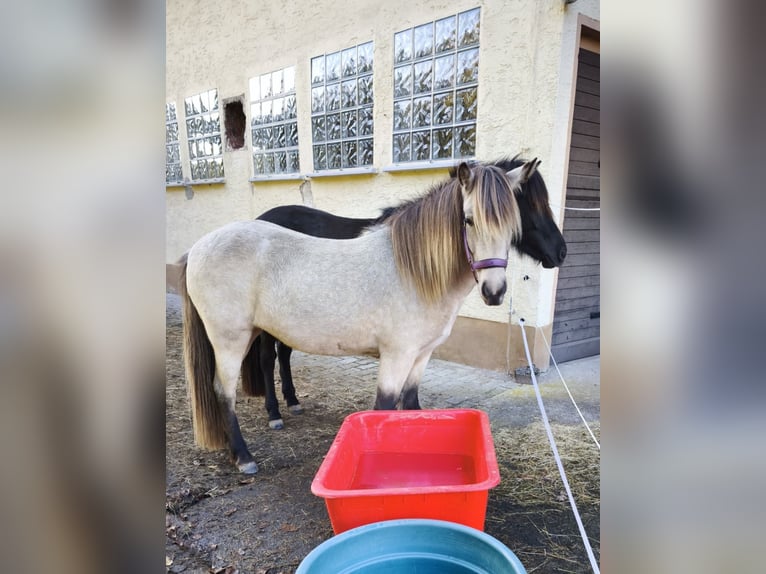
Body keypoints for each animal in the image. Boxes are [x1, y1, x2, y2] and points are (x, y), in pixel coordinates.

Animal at [180, 160, 562, 473]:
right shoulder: (395, 357)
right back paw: (244, 456)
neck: (415, 270)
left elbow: (410, 405)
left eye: (513, 225)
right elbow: (384, 409)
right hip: (231, 340)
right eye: (469, 219)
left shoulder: (420, 356)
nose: (494, 291)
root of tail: (198, 247)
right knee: (225, 390)